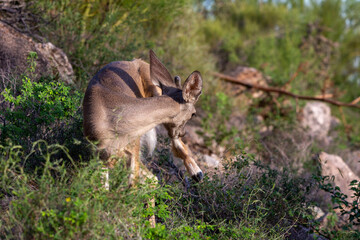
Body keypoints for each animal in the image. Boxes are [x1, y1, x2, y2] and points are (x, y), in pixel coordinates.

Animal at [82, 49, 204, 226]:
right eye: (193, 113)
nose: (183, 132)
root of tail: (136, 61)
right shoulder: (99, 152)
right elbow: (104, 191)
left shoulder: (133, 148)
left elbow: (131, 190)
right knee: (152, 177)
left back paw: (196, 173)